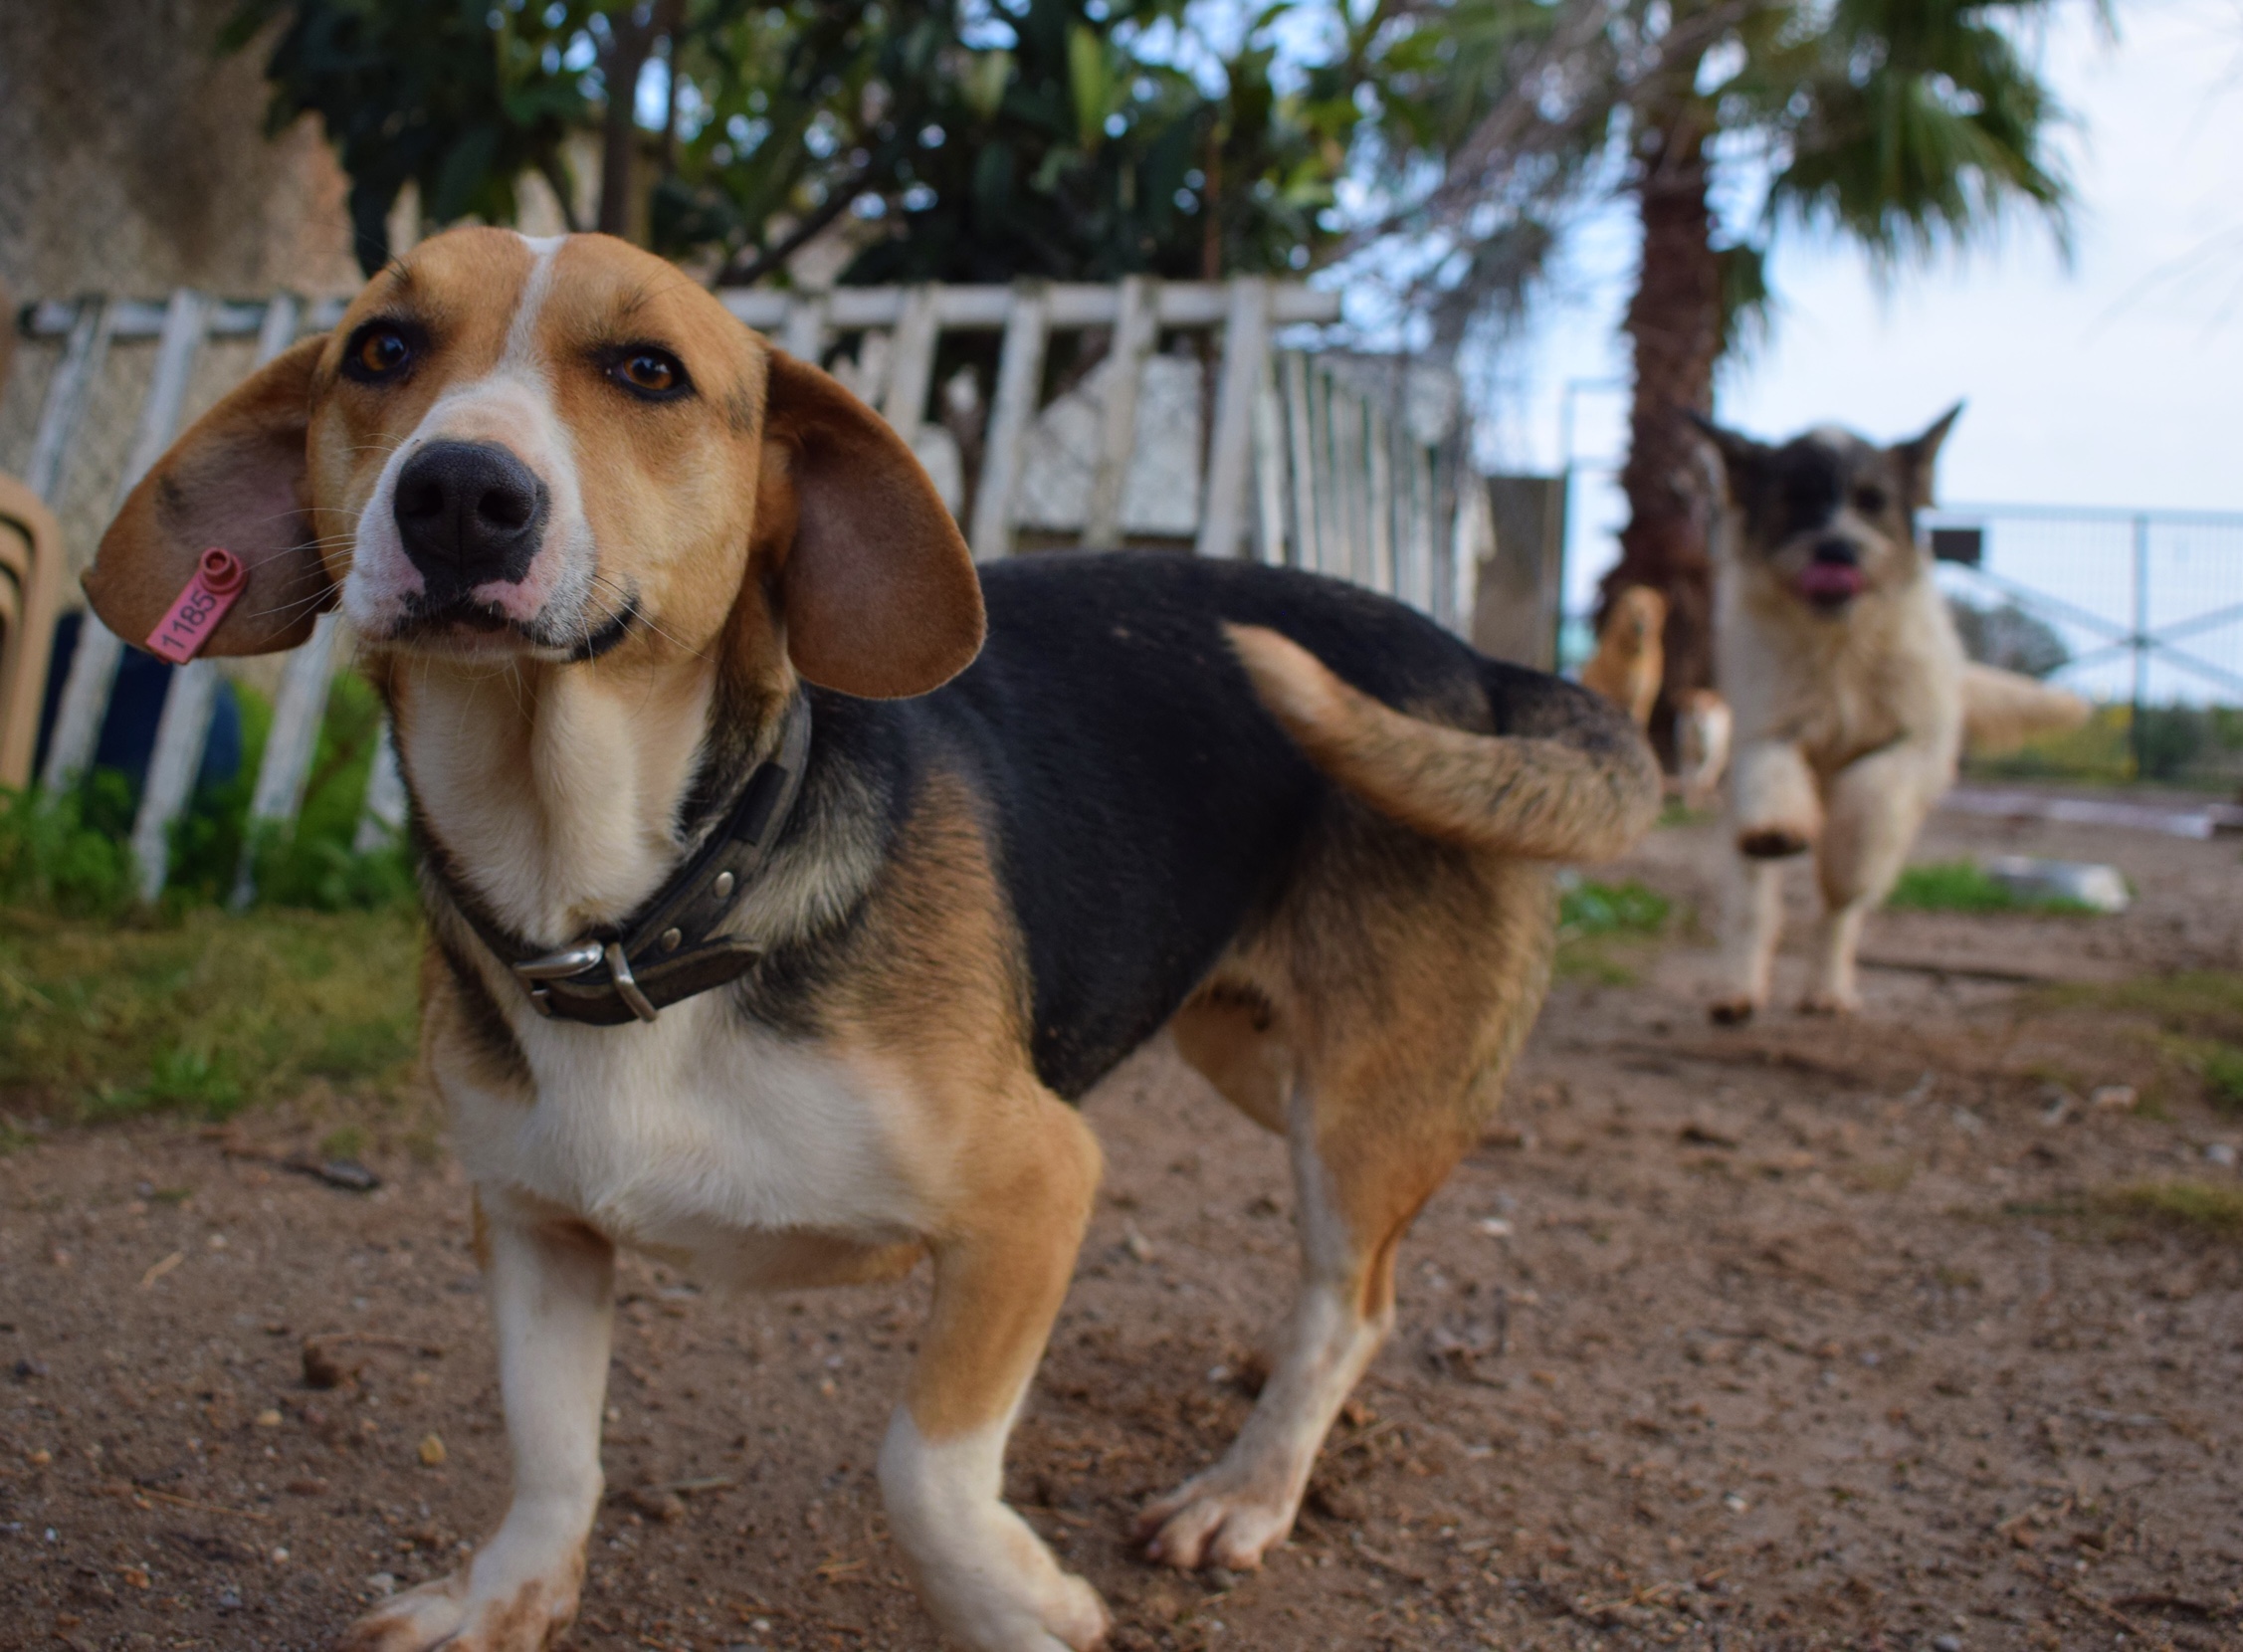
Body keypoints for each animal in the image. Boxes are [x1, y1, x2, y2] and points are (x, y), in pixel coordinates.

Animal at [1695, 408, 2087, 1023]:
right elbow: (1773, 773)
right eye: (1796, 497)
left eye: (1872, 500)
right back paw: (1737, 987)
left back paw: (1827, 986)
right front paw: (1781, 833)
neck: (1841, 644)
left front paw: (1844, 861)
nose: (1837, 551)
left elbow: (1871, 797)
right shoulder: (1764, 727)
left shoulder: (1919, 744)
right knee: (1752, 899)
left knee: (1843, 909)